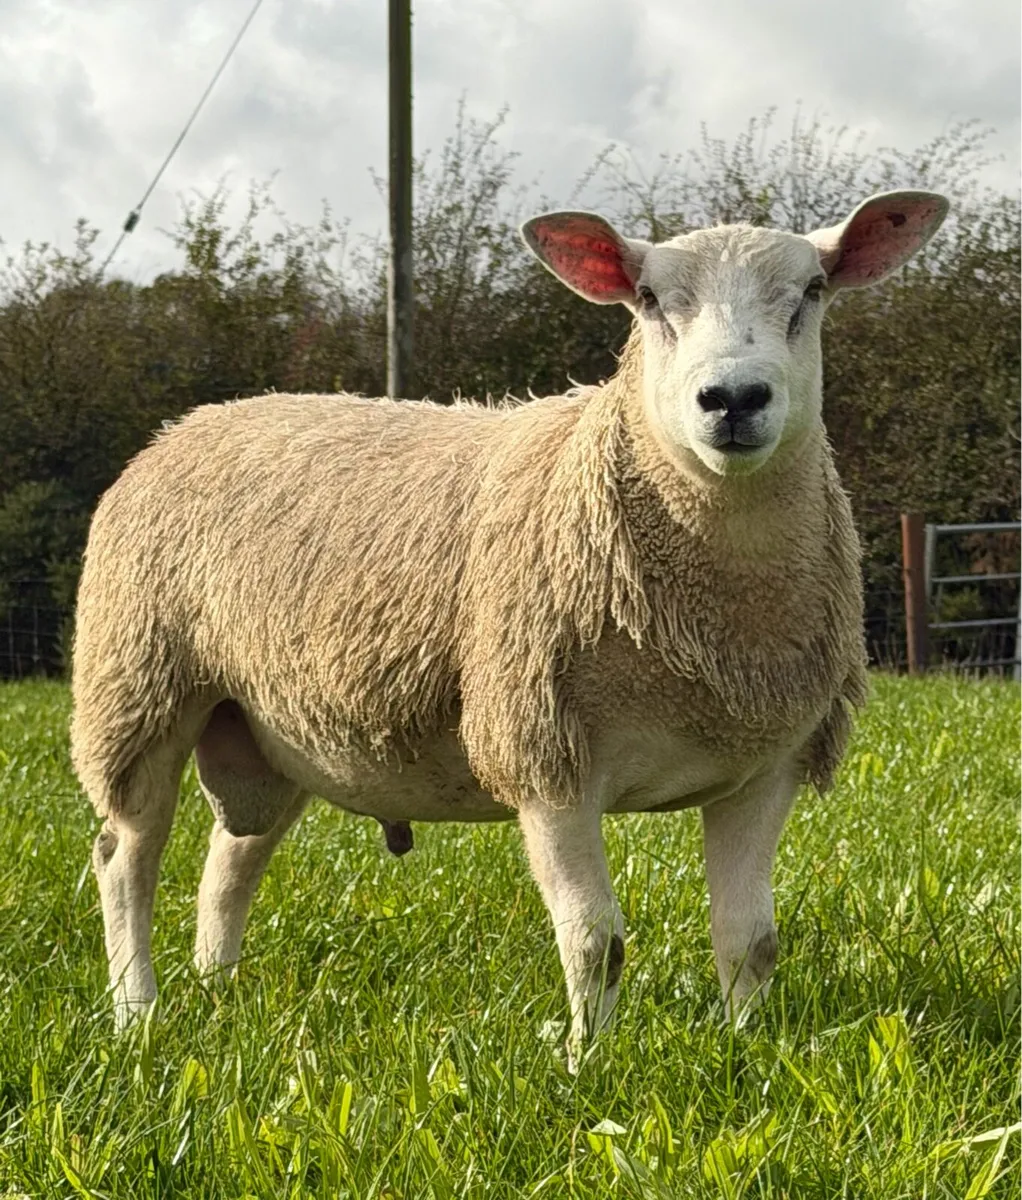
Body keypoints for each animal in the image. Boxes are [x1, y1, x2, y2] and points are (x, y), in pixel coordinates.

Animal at [71, 189, 948, 1048]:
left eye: (813, 290)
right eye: (649, 299)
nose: (733, 399)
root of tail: (185, 424)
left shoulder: (767, 763)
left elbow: (750, 940)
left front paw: (750, 1055)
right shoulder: (544, 747)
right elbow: (595, 940)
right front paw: (587, 1062)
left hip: (270, 728)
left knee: (231, 860)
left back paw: (216, 991)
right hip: (138, 683)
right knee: (125, 855)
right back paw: (136, 1013)